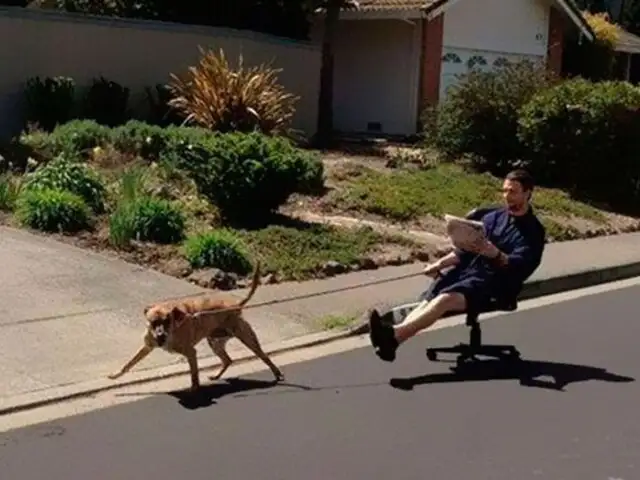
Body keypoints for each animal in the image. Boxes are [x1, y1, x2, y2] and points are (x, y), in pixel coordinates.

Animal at [109, 262, 284, 390]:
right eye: (153, 322)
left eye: (167, 321)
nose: (160, 336)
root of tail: (235, 306)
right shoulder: (147, 346)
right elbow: (129, 364)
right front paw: (115, 375)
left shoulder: (190, 353)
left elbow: (194, 375)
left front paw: (194, 389)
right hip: (215, 342)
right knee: (227, 360)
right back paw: (217, 376)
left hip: (247, 338)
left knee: (264, 356)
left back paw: (277, 374)